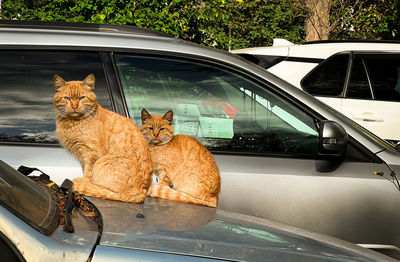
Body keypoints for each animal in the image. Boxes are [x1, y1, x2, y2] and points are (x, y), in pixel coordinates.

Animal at [53, 73, 152, 203]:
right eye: (67, 98)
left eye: (82, 98)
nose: (74, 106)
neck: (72, 123)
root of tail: (142, 193)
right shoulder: (82, 155)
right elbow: (84, 170)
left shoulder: (91, 154)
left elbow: (88, 173)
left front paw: (85, 183)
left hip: (103, 161)